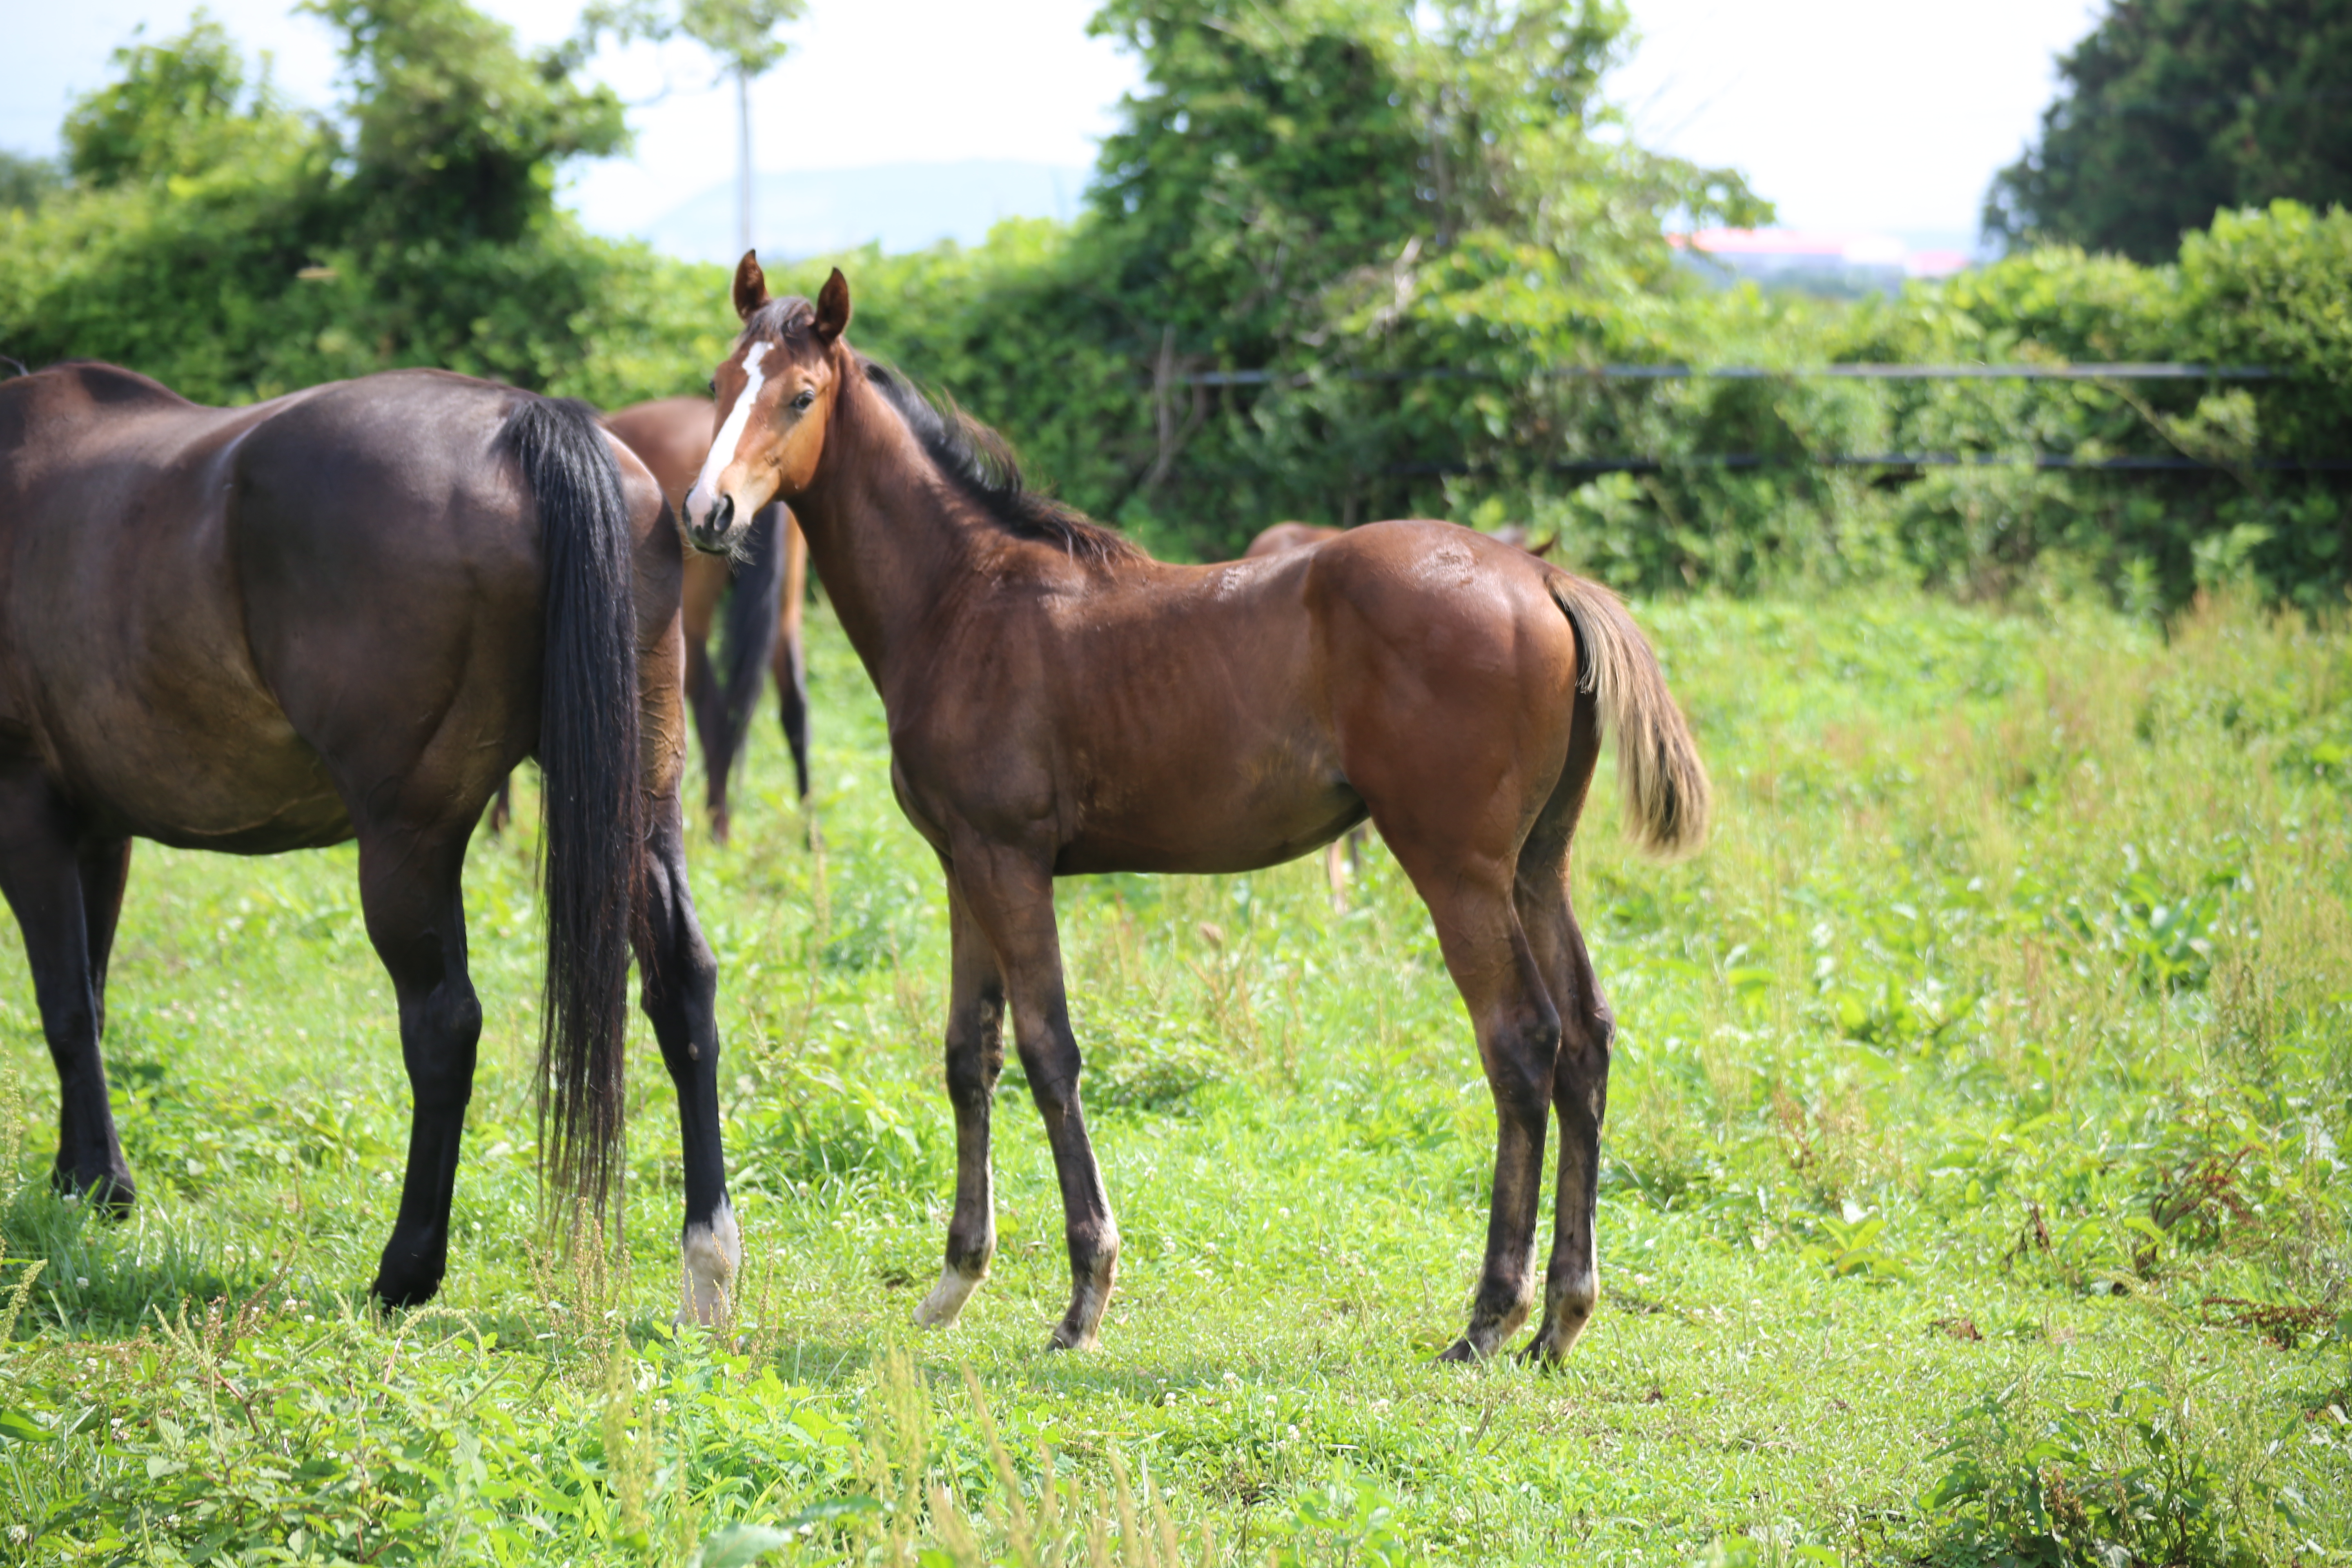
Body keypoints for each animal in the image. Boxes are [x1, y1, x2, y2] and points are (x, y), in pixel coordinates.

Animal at [0, 359, 748, 1326]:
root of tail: (524, 423)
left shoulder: (29, 814)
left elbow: (62, 1006)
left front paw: (101, 1182)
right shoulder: (99, 830)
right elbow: (90, 997)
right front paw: (78, 1178)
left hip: (406, 841)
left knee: (444, 1024)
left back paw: (406, 1270)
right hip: (639, 804)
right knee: (681, 987)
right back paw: (708, 1268)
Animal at [686, 261, 1712, 1363]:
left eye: (799, 396)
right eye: (718, 384)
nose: (708, 512)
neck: (962, 599)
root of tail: (1542, 575)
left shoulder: (1011, 860)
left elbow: (1049, 1051)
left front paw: (1084, 1296)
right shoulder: (963, 863)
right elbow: (971, 1054)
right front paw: (954, 1281)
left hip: (1456, 867)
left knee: (1522, 1043)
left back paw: (1488, 1316)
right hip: (1535, 863)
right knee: (1586, 1039)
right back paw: (1560, 1317)